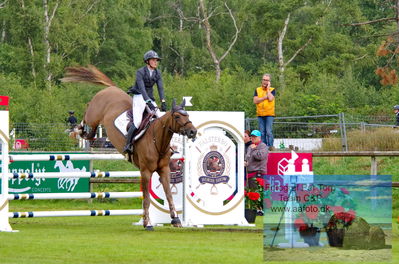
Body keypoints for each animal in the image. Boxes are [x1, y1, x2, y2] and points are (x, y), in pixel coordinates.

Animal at [61, 65, 198, 230]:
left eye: (187, 115)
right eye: (177, 117)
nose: (193, 132)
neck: (157, 140)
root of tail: (111, 89)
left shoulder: (164, 170)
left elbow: (169, 194)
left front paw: (176, 219)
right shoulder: (145, 172)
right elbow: (146, 198)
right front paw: (148, 223)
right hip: (93, 118)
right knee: (86, 125)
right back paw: (75, 130)